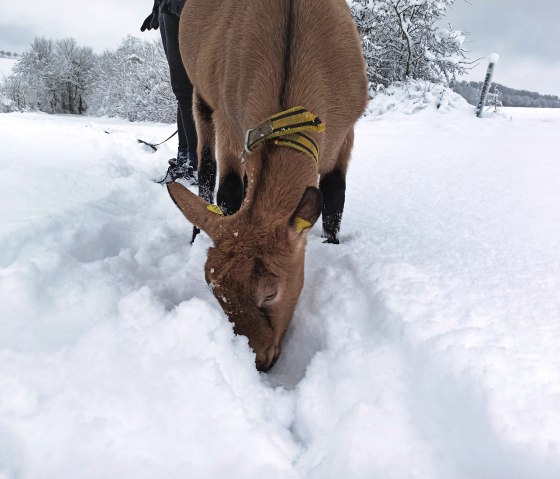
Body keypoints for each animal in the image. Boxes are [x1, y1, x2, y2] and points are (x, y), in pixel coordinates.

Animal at [168, 0, 370, 372]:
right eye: (215, 293)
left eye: (271, 293)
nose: (260, 360)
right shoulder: (230, 116)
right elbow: (228, 191)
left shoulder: (344, 131)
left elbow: (335, 195)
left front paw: (333, 243)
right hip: (199, 94)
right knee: (206, 167)